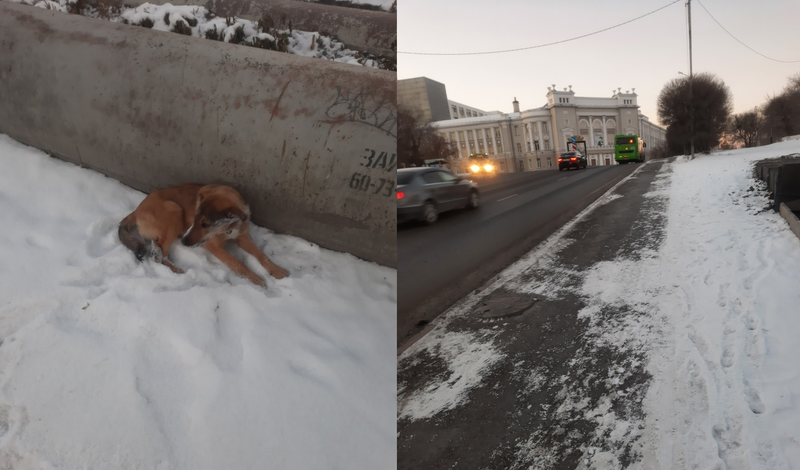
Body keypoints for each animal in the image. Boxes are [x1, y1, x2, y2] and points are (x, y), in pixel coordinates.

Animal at [119, 184, 290, 286]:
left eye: (205, 224)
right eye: (194, 219)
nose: (184, 242)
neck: (229, 227)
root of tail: (135, 211)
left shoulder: (243, 238)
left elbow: (262, 255)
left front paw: (277, 270)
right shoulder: (213, 246)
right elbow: (237, 262)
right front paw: (254, 278)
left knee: (157, 249)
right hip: (174, 211)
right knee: (160, 255)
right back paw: (176, 270)